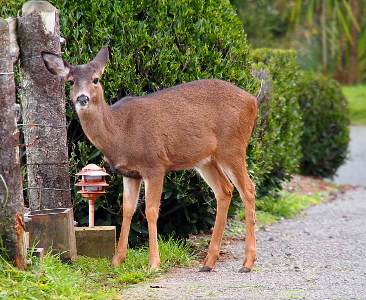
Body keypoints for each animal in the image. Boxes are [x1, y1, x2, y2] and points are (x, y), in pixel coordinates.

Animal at [40, 45, 258, 274]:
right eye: (70, 81)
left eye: (95, 79)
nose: (82, 99)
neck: (120, 133)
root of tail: (252, 101)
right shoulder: (129, 173)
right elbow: (127, 210)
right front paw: (117, 260)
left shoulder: (154, 165)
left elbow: (151, 211)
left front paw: (153, 263)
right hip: (206, 159)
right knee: (225, 190)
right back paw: (208, 262)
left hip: (232, 146)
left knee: (248, 189)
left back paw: (247, 262)